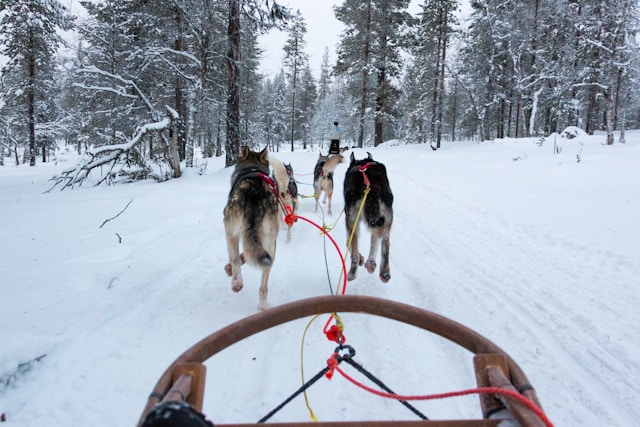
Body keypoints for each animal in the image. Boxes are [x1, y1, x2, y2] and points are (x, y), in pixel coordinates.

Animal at [224, 147, 278, 310]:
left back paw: (236, 283)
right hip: (271, 245)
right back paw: (264, 305)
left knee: (235, 259)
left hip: (230, 230)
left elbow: (235, 257)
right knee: (263, 285)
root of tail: (255, 195)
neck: (252, 167)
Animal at [342, 152, 392, 282]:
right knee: (384, 241)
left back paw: (353, 272)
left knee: (354, 250)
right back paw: (380, 269)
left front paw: (360, 258)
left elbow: (348, 243)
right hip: (387, 218)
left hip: (352, 219)